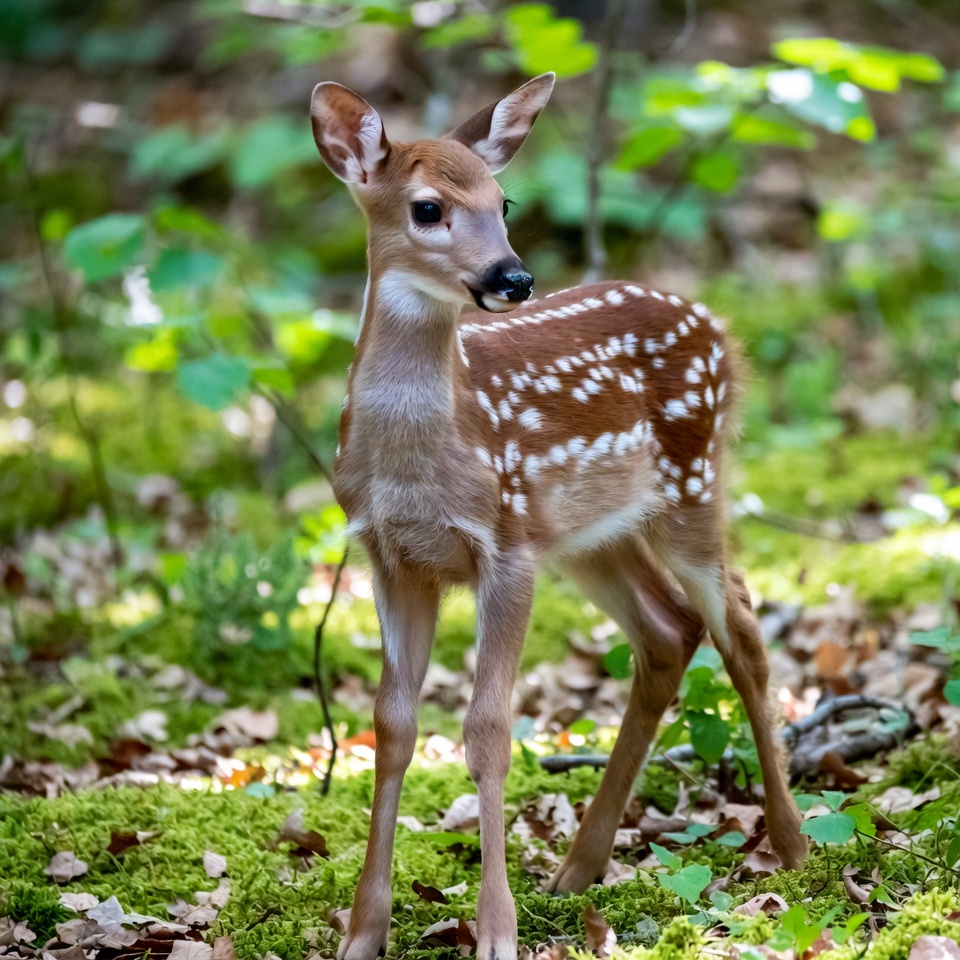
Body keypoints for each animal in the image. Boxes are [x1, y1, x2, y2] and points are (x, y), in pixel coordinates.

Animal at [309, 72, 807, 960]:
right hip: (589, 536)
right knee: (669, 631)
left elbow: (487, 731)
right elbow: (393, 727)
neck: (417, 458)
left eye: (503, 200)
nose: (513, 277)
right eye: (429, 208)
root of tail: (719, 327)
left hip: (692, 482)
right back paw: (579, 867)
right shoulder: (392, 557)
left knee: (742, 630)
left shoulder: (502, 544)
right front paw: (363, 932)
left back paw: (791, 843)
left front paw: (495, 932)